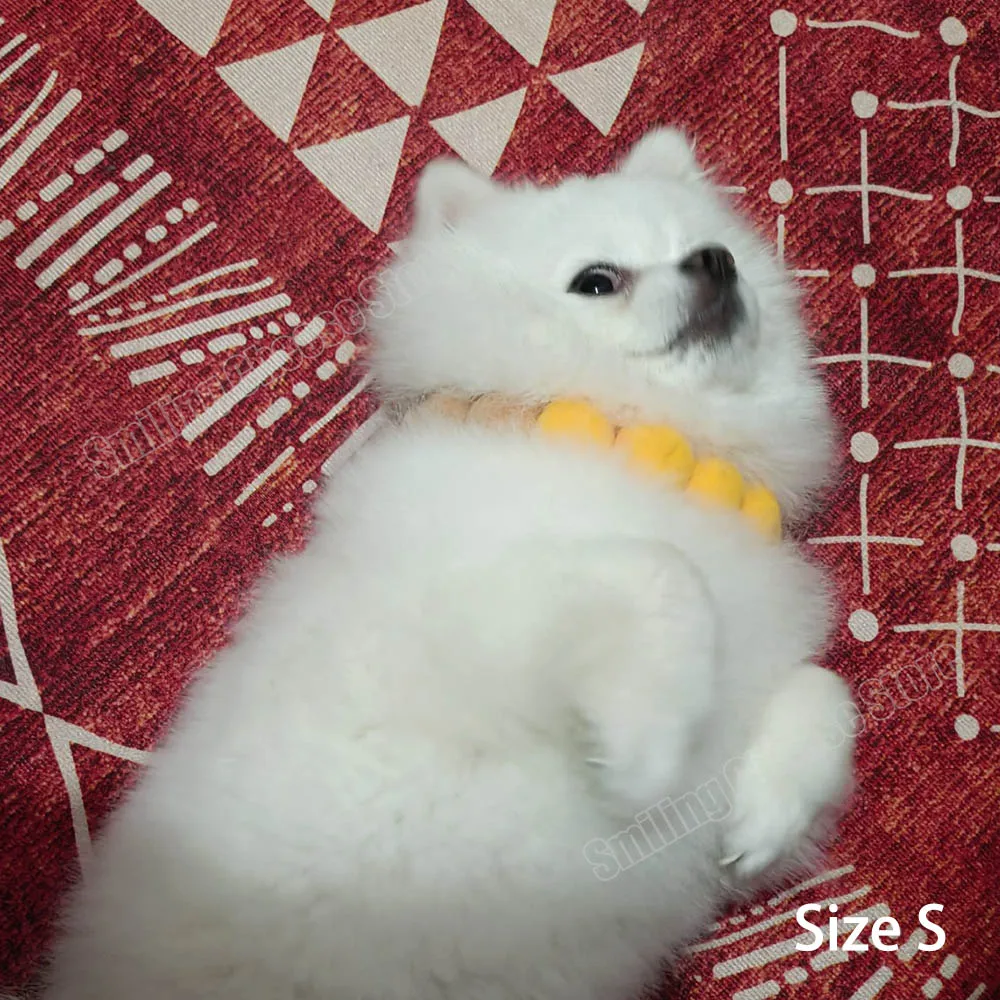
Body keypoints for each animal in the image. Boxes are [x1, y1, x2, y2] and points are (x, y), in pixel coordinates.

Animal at [37, 128, 855, 1000]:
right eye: (597, 279)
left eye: (711, 248)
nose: (714, 263)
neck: (651, 442)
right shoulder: (439, 639)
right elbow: (660, 570)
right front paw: (646, 745)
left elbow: (826, 690)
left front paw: (770, 808)